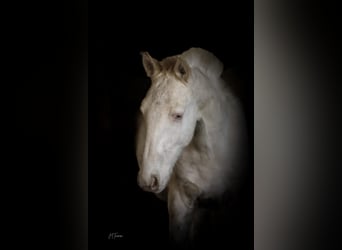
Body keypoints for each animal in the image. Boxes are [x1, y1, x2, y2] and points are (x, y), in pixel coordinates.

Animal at [135, 47, 247, 248]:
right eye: (143, 110)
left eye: (178, 115)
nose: (148, 179)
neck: (210, 155)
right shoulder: (181, 203)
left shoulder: (229, 206)